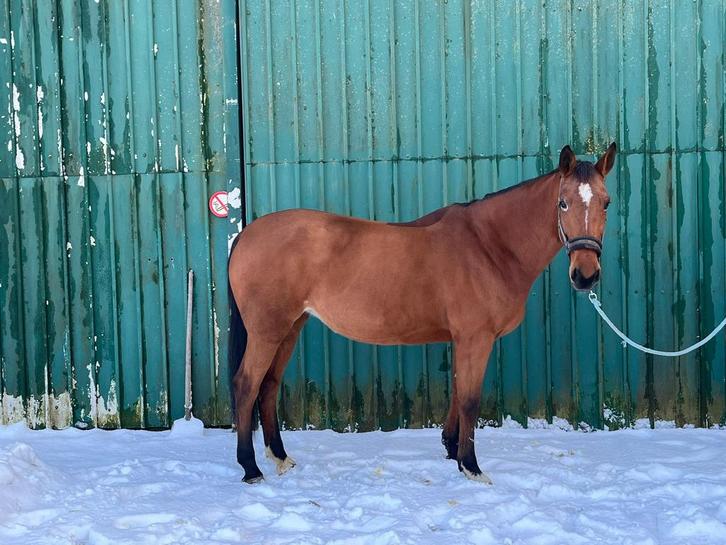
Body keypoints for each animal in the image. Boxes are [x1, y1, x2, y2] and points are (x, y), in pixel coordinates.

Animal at [228, 143, 617, 484]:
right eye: (563, 203)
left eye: (606, 203)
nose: (585, 275)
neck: (488, 246)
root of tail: (246, 235)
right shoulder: (476, 338)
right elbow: (471, 400)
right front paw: (471, 467)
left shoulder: (464, 339)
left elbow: (459, 391)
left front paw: (452, 451)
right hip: (267, 330)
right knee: (246, 385)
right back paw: (250, 467)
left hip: (291, 326)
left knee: (269, 385)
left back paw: (280, 457)